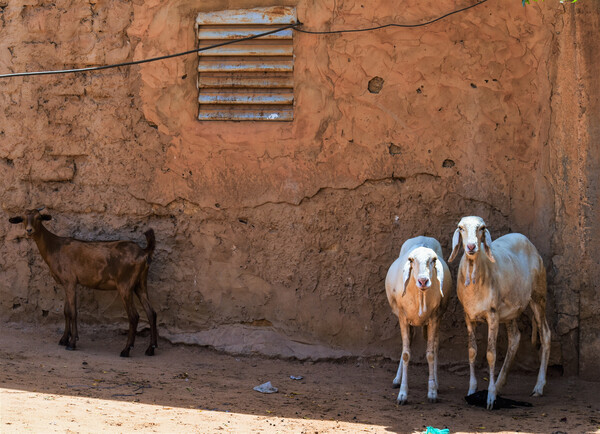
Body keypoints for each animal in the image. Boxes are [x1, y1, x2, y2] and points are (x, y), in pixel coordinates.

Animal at [9, 209, 158, 358]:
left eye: (39, 218)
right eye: (23, 218)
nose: (29, 230)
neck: (55, 247)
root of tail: (144, 252)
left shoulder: (70, 281)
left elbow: (73, 312)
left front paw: (72, 343)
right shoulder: (66, 283)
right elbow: (66, 311)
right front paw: (64, 339)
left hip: (125, 285)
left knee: (134, 316)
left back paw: (126, 350)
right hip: (140, 283)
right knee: (151, 312)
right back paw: (151, 348)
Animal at [386, 237, 452, 404]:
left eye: (433, 260)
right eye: (411, 260)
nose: (423, 281)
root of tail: (422, 237)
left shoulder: (434, 318)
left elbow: (430, 354)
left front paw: (432, 392)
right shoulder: (403, 318)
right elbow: (406, 354)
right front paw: (402, 394)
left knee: (435, 345)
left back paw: (436, 383)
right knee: (407, 344)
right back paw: (397, 379)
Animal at [448, 217, 552, 410]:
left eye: (482, 228)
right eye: (461, 228)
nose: (471, 246)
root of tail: (526, 240)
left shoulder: (493, 315)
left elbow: (491, 355)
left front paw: (489, 398)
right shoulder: (468, 316)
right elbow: (472, 351)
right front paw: (472, 391)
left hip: (538, 295)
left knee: (546, 334)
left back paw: (538, 387)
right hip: (511, 310)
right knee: (515, 338)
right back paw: (499, 385)